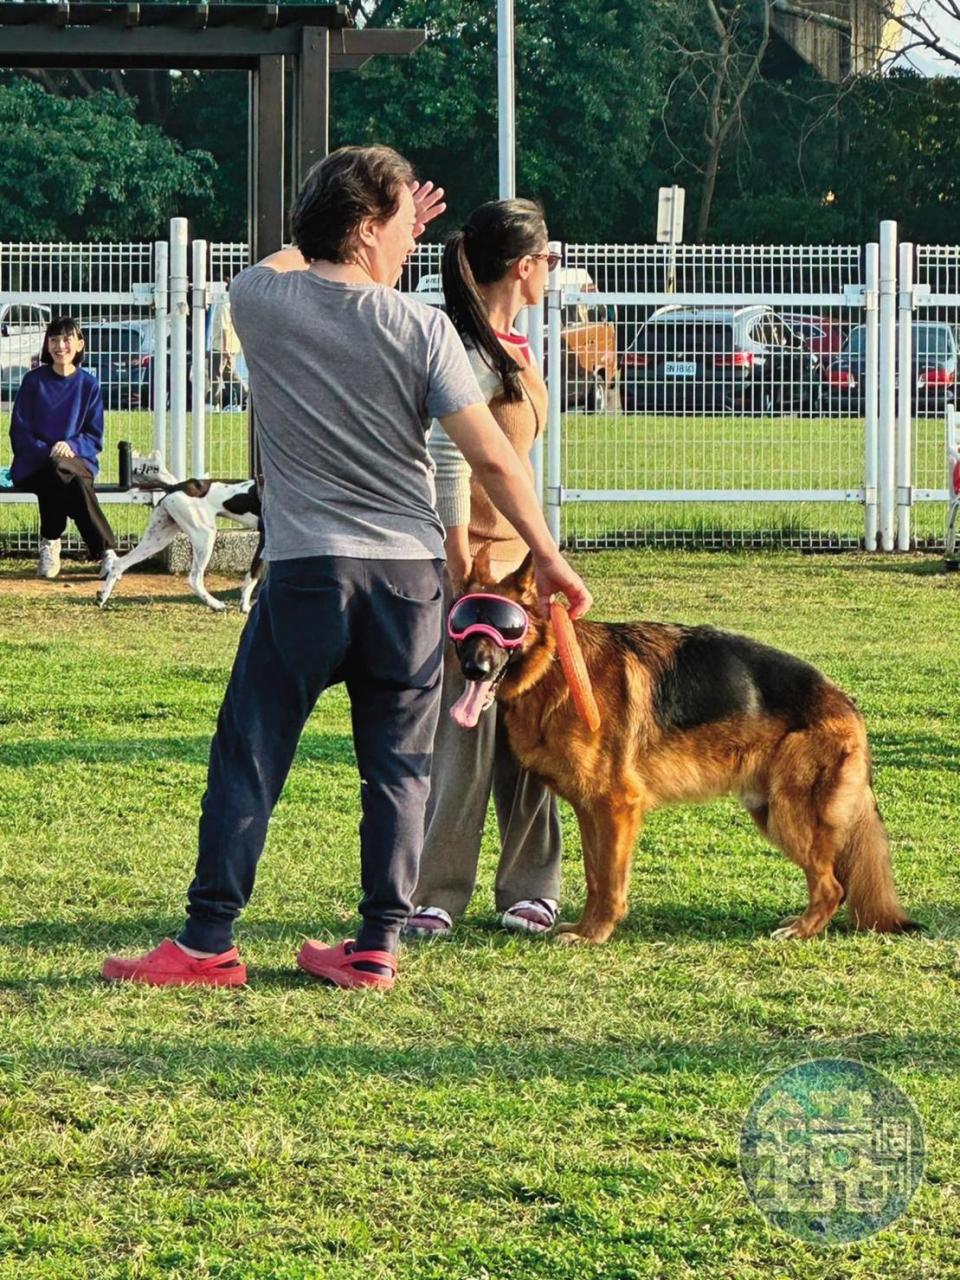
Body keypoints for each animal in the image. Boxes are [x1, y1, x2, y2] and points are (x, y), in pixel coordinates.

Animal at [450, 545, 916, 947]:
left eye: (507, 628)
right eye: (463, 625)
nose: (474, 668)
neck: (553, 670)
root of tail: (845, 703)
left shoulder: (617, 807)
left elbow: (610, 881)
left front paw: (596, 933)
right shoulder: (591, 810)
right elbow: (596, 876)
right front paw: (586, 928)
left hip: (790, 815)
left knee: (833, 885)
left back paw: (800, 930)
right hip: (769, 811)